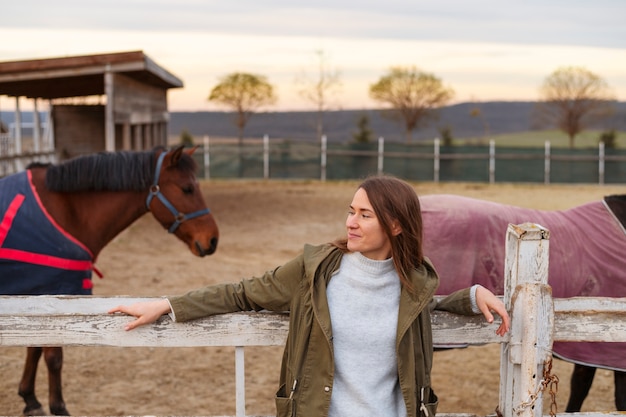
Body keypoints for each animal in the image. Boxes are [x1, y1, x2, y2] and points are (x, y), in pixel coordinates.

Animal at [0, 145, 219, 412]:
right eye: (187, 188)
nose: (212, 239)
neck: (66, 211)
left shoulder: (36, 293)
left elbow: (34, 346)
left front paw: (30, 398)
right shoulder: (53, 290)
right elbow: (52, 356)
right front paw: (58, 407)